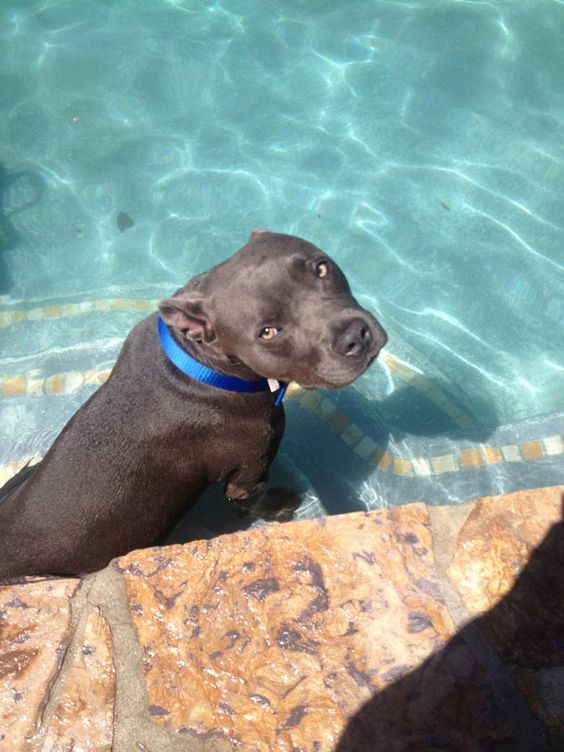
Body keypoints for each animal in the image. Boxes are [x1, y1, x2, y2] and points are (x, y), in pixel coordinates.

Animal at [0, 232, 388, 580]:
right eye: (268, 332)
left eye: (321, 268)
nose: (354, 335)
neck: (203, 363)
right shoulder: (249, 473)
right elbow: (255, 501)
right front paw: (281, 508)